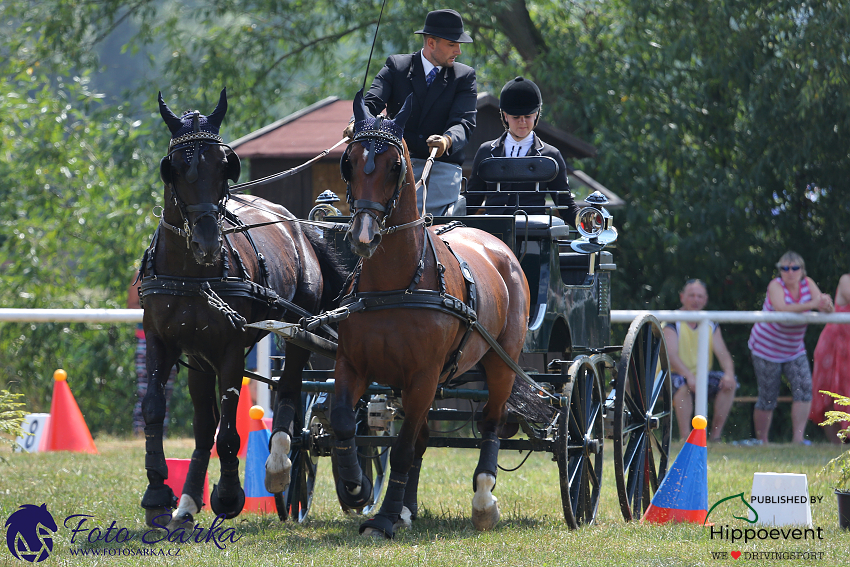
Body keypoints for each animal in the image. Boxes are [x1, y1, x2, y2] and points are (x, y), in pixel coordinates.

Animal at [136, 89, 342, 528]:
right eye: (175, 167)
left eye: (223, 165)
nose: (208, 243)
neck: (192, 274)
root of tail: (298, 226)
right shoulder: (163, 342)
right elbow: (155, 409)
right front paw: (158, 494)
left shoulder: (230, 347)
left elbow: (231, 430)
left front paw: (229, 497)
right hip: (199, 359)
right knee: (203, 425)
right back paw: (186, 502)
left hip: (297, 329)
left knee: (288, 388)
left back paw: (280, 466)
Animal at [332, 92, 528, 536]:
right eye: (349, 161)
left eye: (395, 166)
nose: (364, 237)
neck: (394, 286)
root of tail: (496, 241)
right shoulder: (353, 364)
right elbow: (344, 424)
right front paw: (355, 488)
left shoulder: (421, 376)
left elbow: (402, 449)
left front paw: (383, 519)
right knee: (423, 437)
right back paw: (407, 508)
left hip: (500, 363)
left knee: (490, 423)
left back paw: (483, 501)